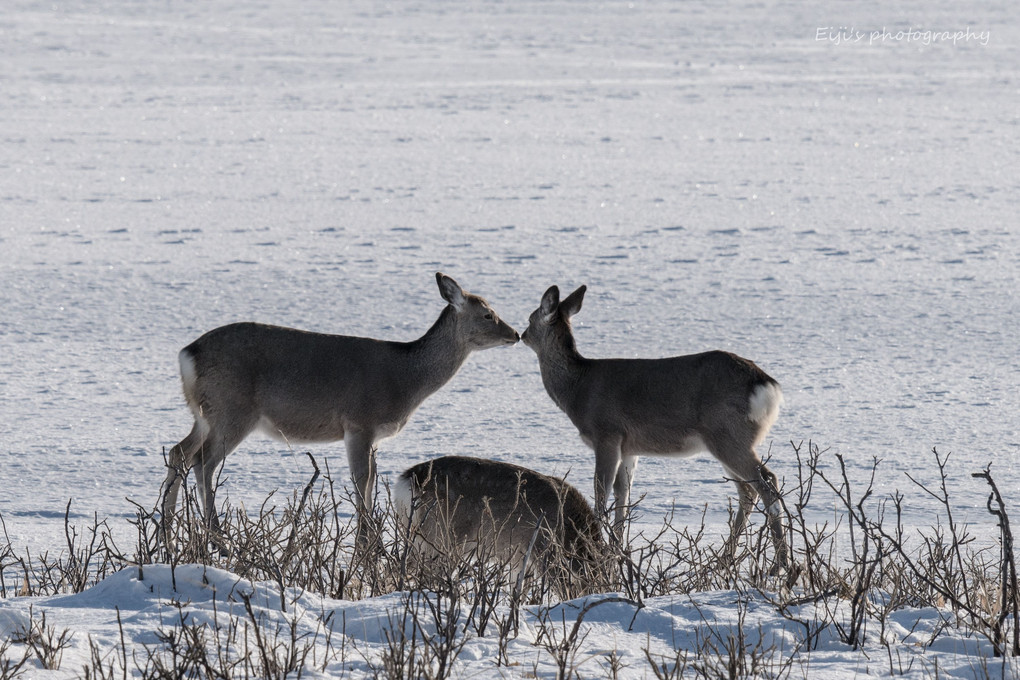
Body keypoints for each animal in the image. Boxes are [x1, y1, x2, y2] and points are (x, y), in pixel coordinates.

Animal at [163, 273, 522, 546]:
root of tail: (187, 355)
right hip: (232, 410)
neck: (406, 379)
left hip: (204, 415)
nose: (516, 334)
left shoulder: (373, 435)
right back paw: (217, 539)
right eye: (488, 314)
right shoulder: (359, 422)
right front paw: (368, 547)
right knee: (203, 462)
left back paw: (167, 529)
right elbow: (361, 479)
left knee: (178, 452)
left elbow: (372, 479)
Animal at [393, 456, 603, 595]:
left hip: (420, 537)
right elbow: (563, 589)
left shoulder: (519, 557)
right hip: (443, 536)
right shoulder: (544, 549)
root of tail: (409, 479)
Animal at [522, 285, 791, 570]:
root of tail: (767, 386)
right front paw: (618, 552)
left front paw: (602, 549)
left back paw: (779, 564)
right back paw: (724, 559)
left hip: (728, 434)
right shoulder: (629, 447)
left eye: (530, 317)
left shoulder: (606, 434)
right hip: (728, 440)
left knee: (767, 482)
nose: (521, 335)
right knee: (748, 490)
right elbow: (623, 496)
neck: (578, 390)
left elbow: (601, 494)